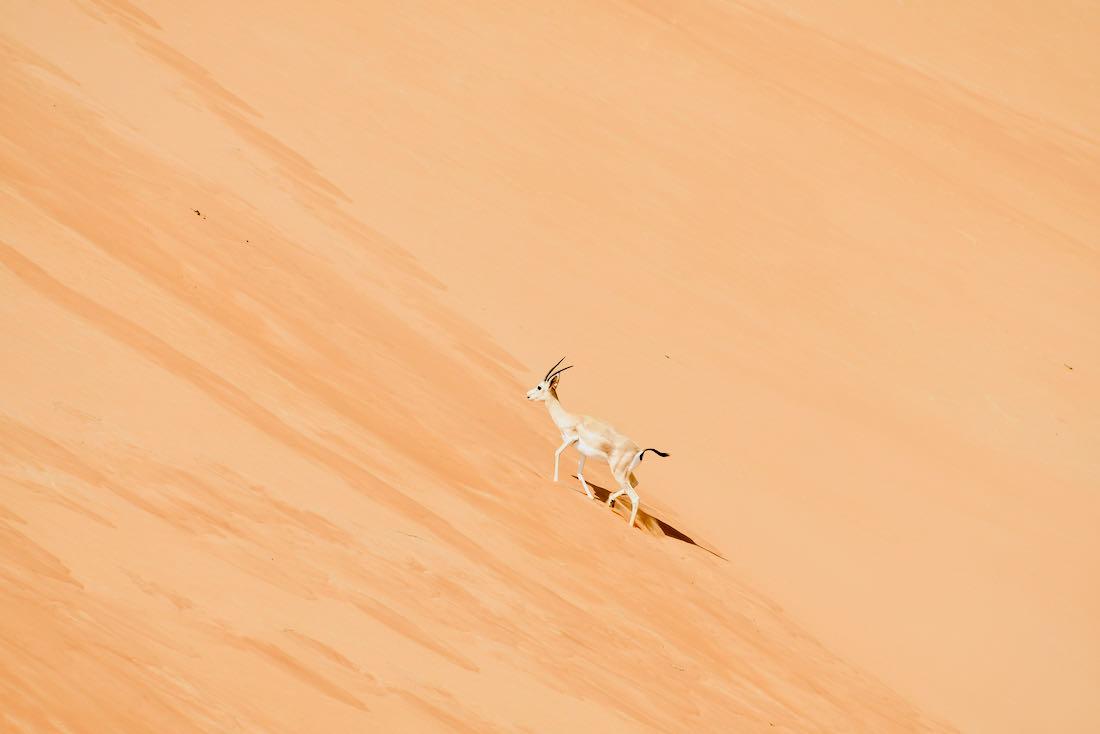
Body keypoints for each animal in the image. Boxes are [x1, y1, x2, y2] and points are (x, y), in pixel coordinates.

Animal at [526, 358, 669, 528]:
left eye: (539, 387)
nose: (527, 395)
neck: (570, 418)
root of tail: (639, 450)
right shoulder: (582, 452)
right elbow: (580, 473)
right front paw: (590, 496)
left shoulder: (569, 440)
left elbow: (557, 453)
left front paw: (554, 481)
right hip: (626, 473)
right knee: (635, 483)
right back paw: (610, 501)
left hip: (619, 473)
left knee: (635, 498)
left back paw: (629, 525)